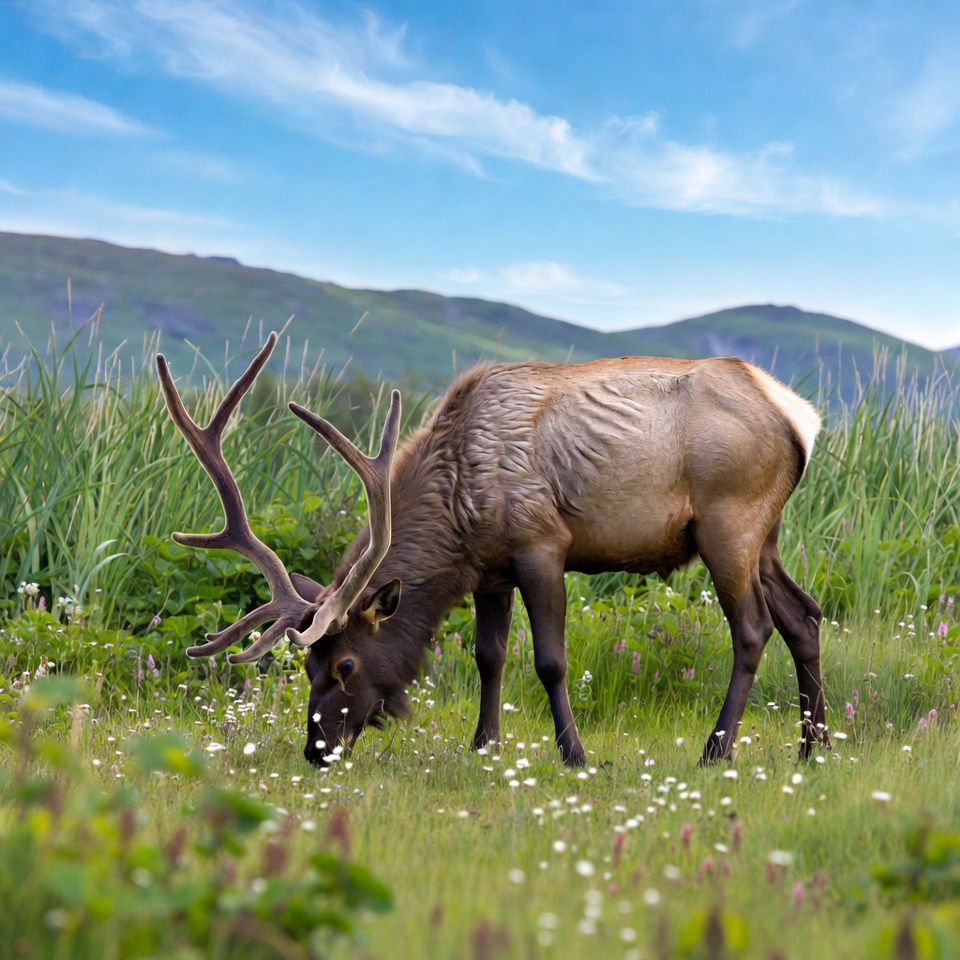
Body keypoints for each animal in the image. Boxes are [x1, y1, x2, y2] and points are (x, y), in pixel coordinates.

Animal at [156, 331, 829, 768]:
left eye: (345, 665)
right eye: (305, 667)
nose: (316, 749)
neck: (457, 520)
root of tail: (801, 418)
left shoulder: (541, 543)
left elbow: (550, 661)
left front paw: (575, 755)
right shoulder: (491, 571)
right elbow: (490, 657)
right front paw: (484, 744)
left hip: (727, 523)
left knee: (753, 628)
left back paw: (716, 750)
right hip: (765, 533)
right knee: (804, 615)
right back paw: (814, 744)